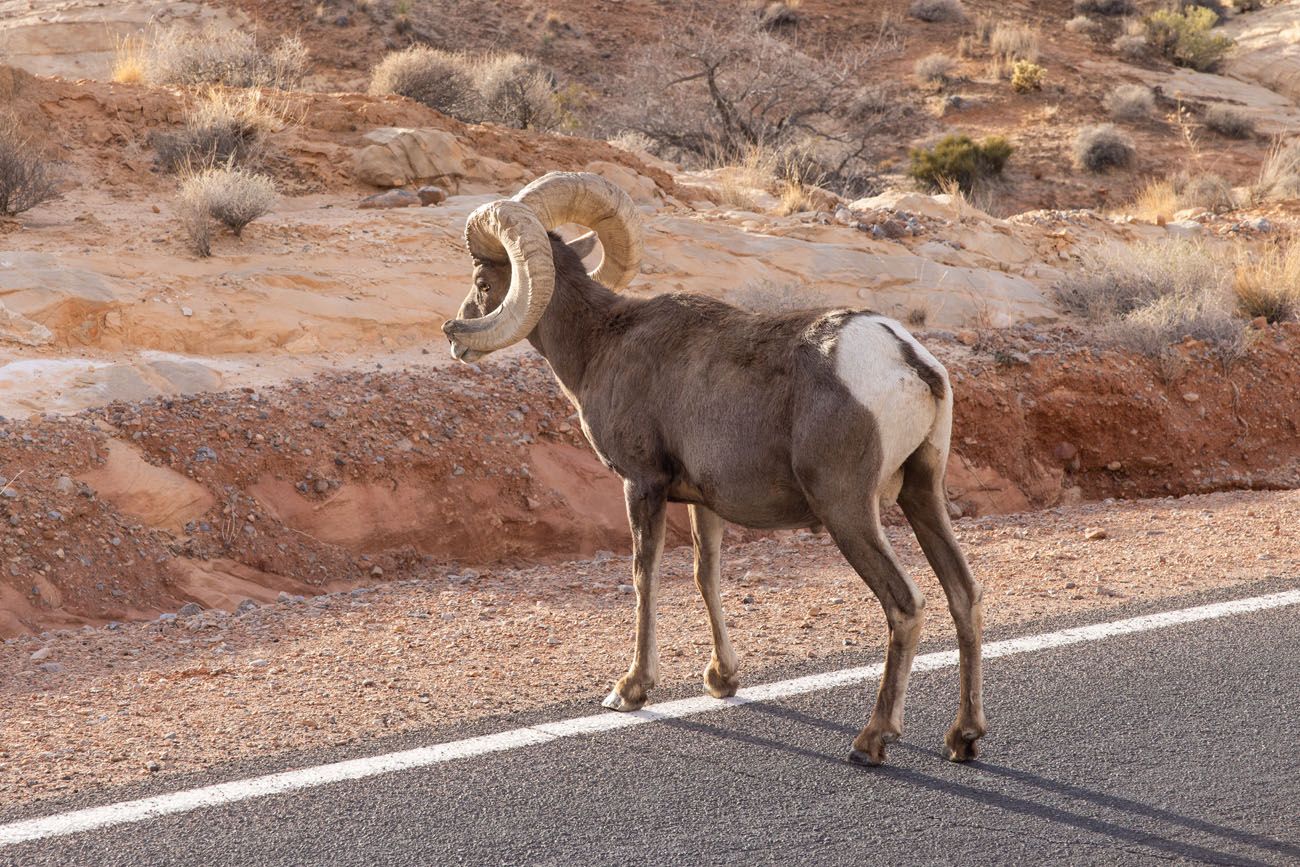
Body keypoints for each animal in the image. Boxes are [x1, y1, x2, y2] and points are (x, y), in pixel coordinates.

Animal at [439, 171, 982, 764]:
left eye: (482, 280)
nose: (454, 335)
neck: (603, 343)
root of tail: (907, 361)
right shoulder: (707, 502)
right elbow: (707, 575)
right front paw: (722, 679)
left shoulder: (642, 485)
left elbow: (645, 577)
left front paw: (630, 689)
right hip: (922, 494)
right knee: (964, 594)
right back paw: (964, 736)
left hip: (848, 511)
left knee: (905, 605)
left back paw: (872, 739)